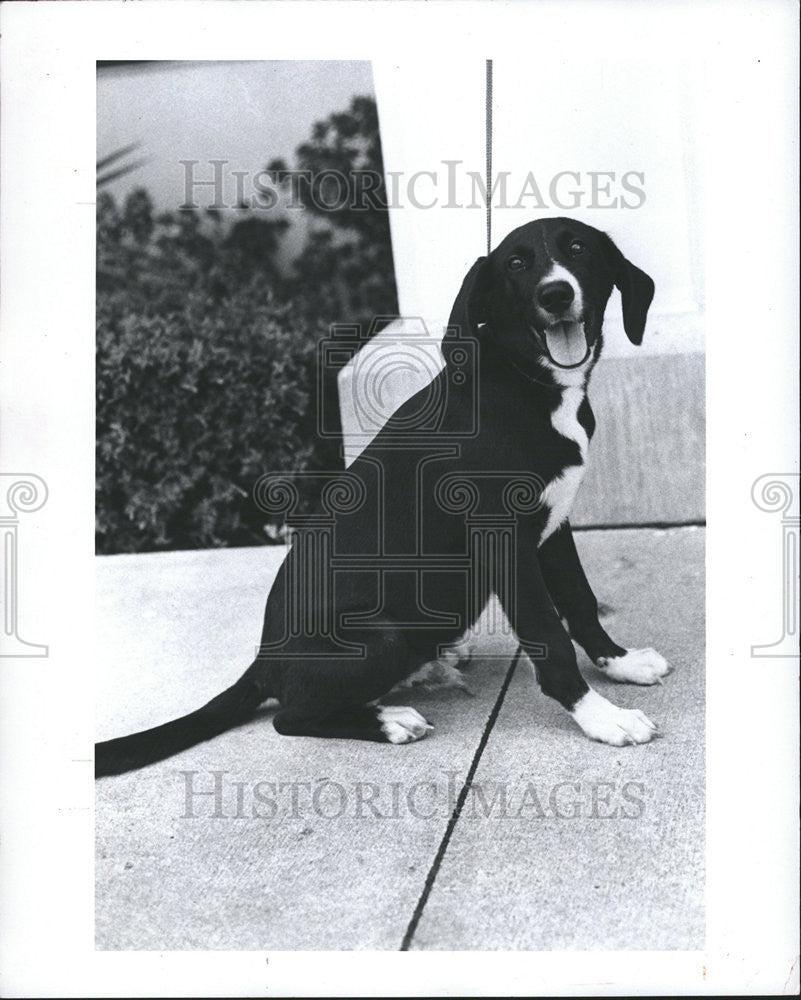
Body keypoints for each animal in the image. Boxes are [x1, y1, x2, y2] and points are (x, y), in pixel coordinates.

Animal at [94, 217, 668, 780]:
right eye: (516, 263)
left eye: (578, 248)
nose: (555, 294)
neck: (528, 386)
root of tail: (263, 663)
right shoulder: (506, 543)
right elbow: (550, 633)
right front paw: (602, 718)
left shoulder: (554, 527)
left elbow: (581, 602)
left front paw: (620, 663)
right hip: (381, 633)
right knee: (289, 717)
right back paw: (389, 719)